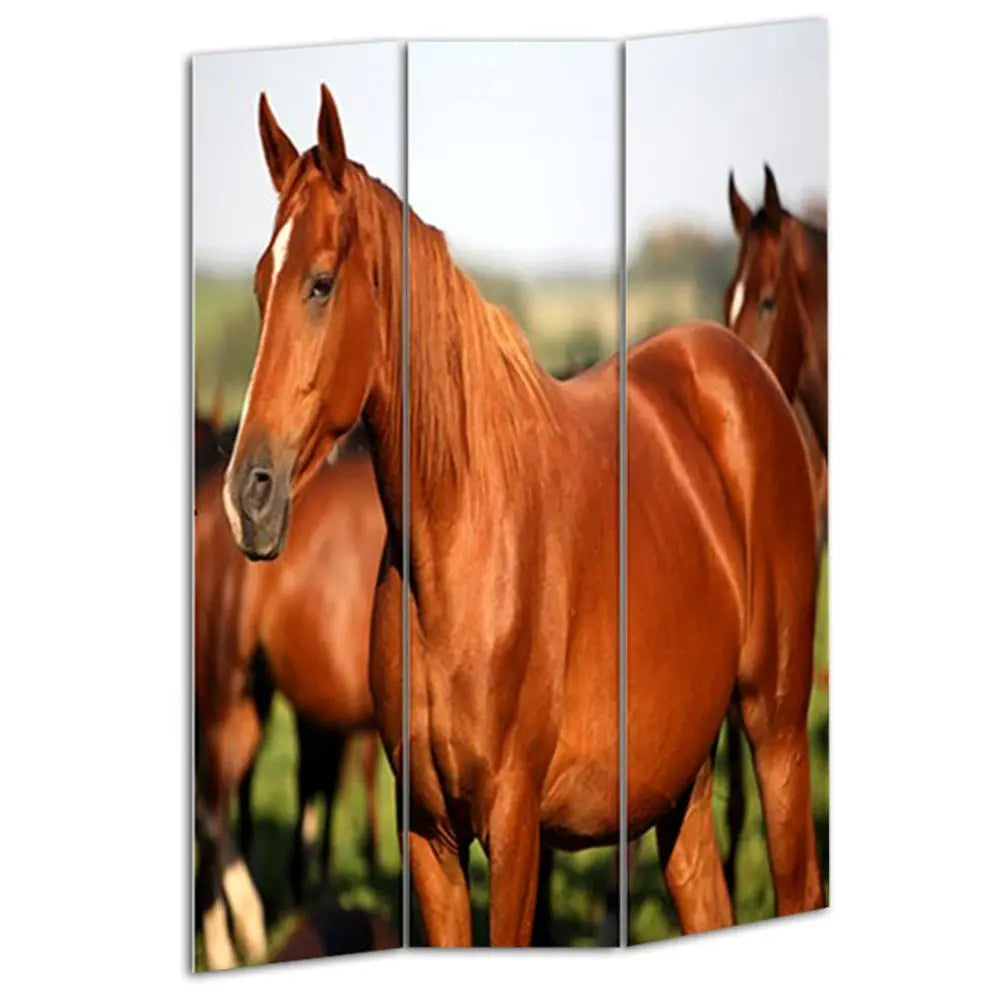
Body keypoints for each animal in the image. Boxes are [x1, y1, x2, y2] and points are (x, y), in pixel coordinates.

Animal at [222, 85, 824, 946]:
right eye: (257, 285)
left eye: (321, 283)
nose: (249, 496)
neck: (458, 545)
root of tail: (743, 374)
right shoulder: (430, 839)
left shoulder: (512, 832)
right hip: (681, 784)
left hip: (775, 732)